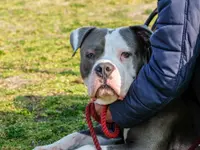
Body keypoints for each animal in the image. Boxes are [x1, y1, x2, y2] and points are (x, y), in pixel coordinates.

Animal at [33, 26, 198, 150]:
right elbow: (76, 135)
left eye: (126, 54)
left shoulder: (144, 145)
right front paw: (47, 147)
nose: (104, 68)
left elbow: (88, 147)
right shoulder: (112, 131)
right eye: (90, 54)